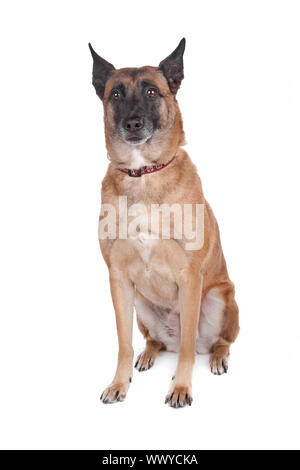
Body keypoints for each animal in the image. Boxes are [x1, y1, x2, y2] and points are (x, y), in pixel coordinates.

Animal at [88, 39, 239, 408]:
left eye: (152, 91)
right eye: (116, 94)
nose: (132, 123)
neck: (143, 173)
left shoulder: (190, 276)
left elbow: (185, 350)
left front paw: (181, 387)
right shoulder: (117, 278)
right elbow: (123, 343)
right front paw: (119, 383)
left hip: (220, 297)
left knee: (214, 342)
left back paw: (216, 358)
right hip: (141, 304)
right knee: (154, 341)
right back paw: (148, 353)